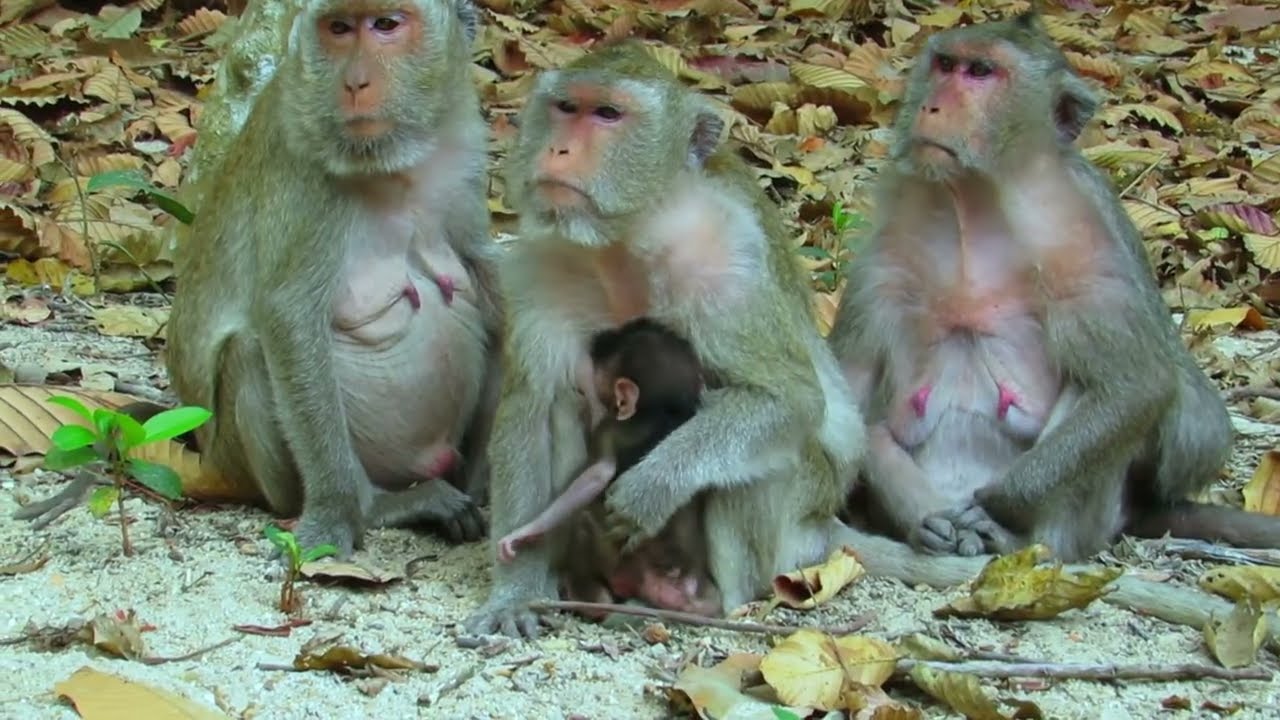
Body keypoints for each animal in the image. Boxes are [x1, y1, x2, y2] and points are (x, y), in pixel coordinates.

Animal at [156, 0, 502, 558]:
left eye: (386, 25)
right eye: (338, 28)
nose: (355, 82)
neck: (395, 166)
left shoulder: (464, 146)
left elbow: (488, 271)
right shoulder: (304, 173)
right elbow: (289, 315)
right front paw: (338, 513)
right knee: (248, 353)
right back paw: (389, 505)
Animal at [496, 317, 722, 617]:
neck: (659, 411)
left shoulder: (608, 429)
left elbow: (595, 476)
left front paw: (522, 533)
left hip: (618, 563)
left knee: (582, 521)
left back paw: (587, 597)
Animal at [827, 12, 1280, 563]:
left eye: (981, 72)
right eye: (945, 64)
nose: (932, 106)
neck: (974, 201)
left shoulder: (1079, 231)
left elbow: (1135, 386)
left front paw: (995, 507)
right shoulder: (889, 246)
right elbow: (848, 399)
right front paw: (928, 518)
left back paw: (1021, 538)